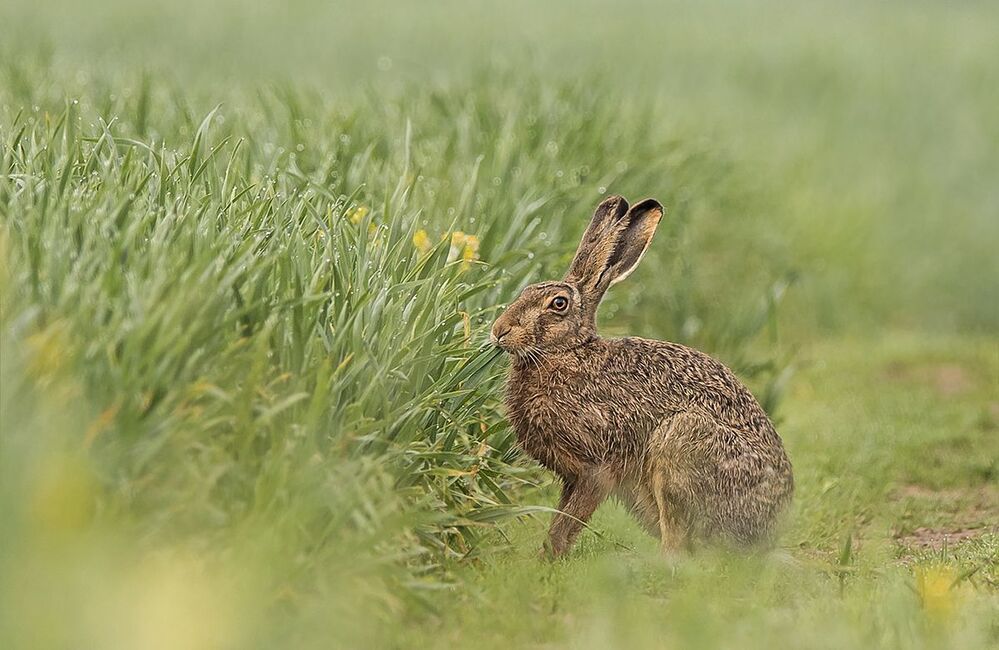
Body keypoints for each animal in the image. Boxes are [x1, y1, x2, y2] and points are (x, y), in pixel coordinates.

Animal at [489, 195, 793, 558]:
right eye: (526, 291)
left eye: (558, 304)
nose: (499, 331)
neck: (569, 351)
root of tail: (765, 535)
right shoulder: (572, 476)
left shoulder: (596, 468)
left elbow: (568, 521)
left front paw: (550, 559)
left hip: (682, 444)